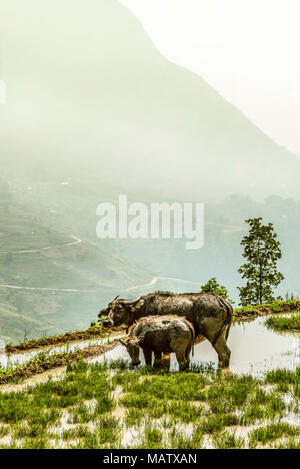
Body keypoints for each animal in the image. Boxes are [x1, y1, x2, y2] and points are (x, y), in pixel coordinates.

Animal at [101, 290, 232, 368]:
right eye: (109, 309)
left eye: (119, 308)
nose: (106, 322)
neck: (143, 308)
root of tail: (221, 300)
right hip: (223, 334)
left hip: (212, 334)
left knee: (224, 353)